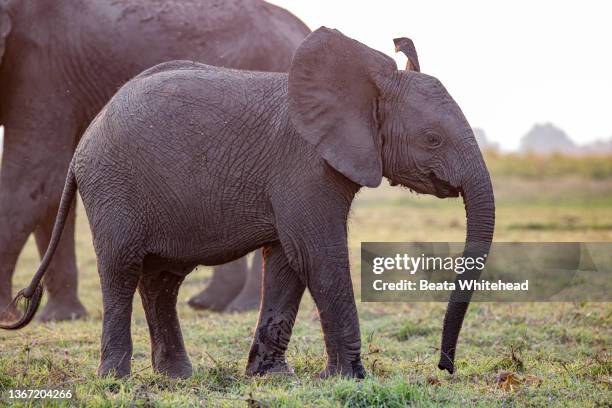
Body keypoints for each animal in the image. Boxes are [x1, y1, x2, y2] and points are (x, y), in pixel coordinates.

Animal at [0, 27, 494, 380]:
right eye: (432, 139)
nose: (444, 367)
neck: (362, 83)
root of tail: (84, 142)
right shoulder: (302, 165)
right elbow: (317, 255)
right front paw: (351, 379)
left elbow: (289, 263)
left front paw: (272, 378)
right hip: (113, 185)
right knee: (122, 269)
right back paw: (116, 380)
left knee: (161, 279)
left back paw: (177, 377)